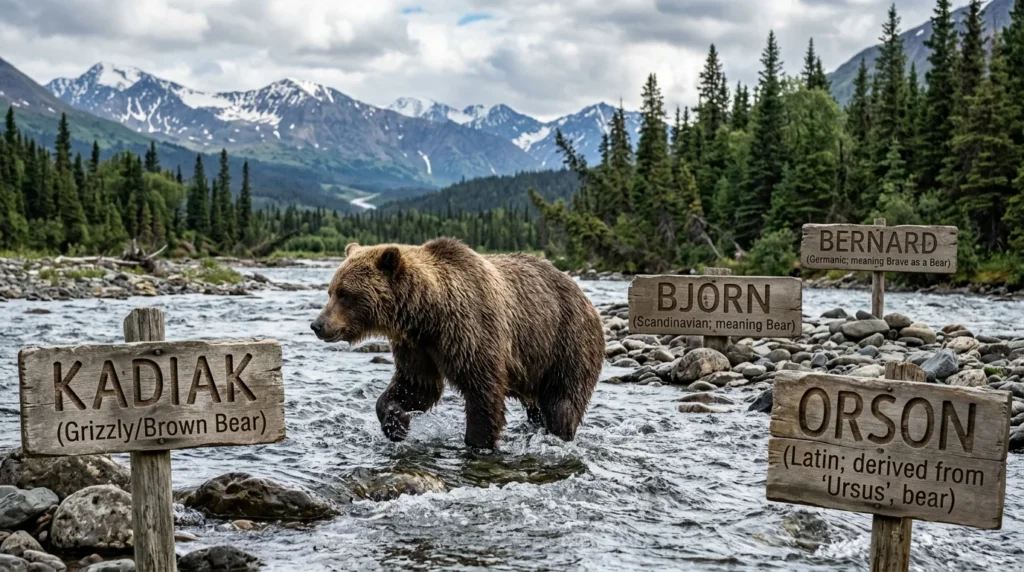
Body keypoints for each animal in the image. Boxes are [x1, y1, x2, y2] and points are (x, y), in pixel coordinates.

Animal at [310, 238, 605, 449]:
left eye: (345, 293)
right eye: (330, 290)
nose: (317, 325)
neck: (429, 315)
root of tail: (585, 297)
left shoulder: (471, 331)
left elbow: (482, 392)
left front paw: (479, 443)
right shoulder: (416, 346)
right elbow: (417, 386)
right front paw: (397, 424)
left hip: (566, 343)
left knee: (562, 403)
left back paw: (558, 434)